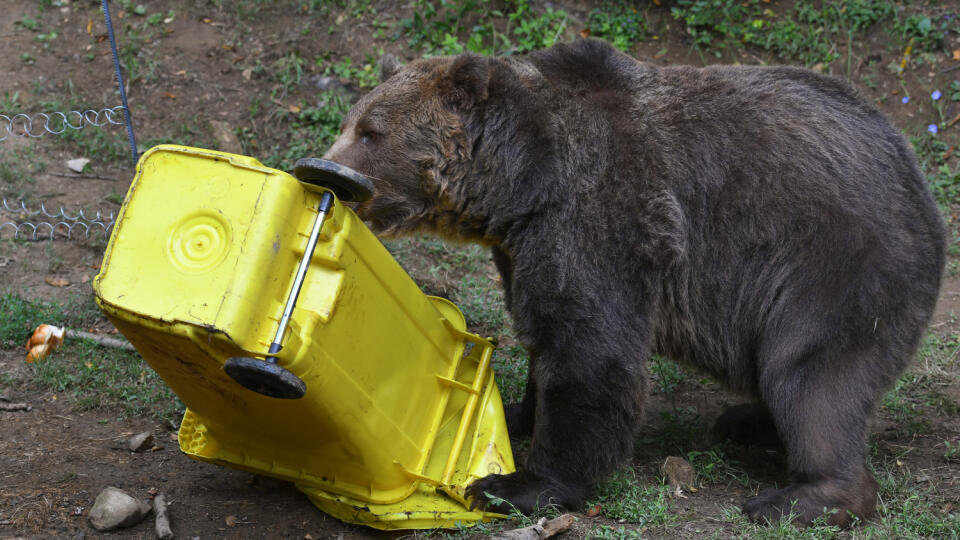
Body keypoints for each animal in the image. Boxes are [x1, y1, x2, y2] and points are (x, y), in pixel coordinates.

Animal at [322, 39, 944, 528]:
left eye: (372, 132)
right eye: (349, 124)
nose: (329, 169)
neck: (523, 183)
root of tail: (917, 179)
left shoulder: (602, 215)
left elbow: (589, 345)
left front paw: (516, 484)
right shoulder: (524, 246)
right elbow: (543, 330)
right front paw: (520, 410)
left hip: (833, 266)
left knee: (812, 378)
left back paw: (798, 496)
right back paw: (747, 423)